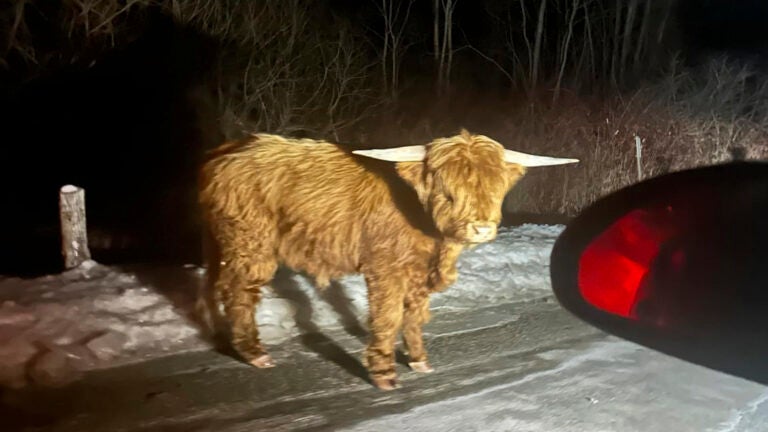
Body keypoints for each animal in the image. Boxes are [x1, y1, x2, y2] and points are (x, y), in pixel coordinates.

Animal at [196, 130, 576, 390]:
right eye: (447, 189)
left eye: (496, 188)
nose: (481, 228)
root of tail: (226, 151)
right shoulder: (386, 267)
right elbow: (388, 315)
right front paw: (383, 373)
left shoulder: (418, 270)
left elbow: (415, 315)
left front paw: (419, 360)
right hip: (250, 242)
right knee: (239, 293)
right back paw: (254, 353)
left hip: (223, 244)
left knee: (213, 286)